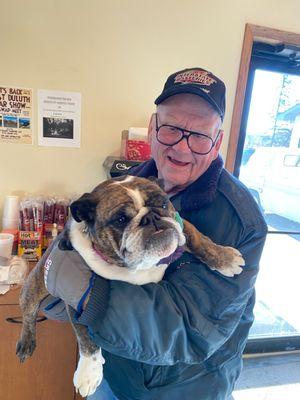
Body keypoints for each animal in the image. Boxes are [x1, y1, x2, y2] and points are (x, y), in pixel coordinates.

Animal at [15, 176, 244, 396]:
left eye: (163, 203)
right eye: (120, 219)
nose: (151, 217)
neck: (133, 266)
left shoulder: (180, 223)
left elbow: (197, 238)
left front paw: (224, 258)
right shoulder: (76, 292)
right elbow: (85, 337)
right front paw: (89, 373)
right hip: (34, 286)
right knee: (28, 313)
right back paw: (26, 343)